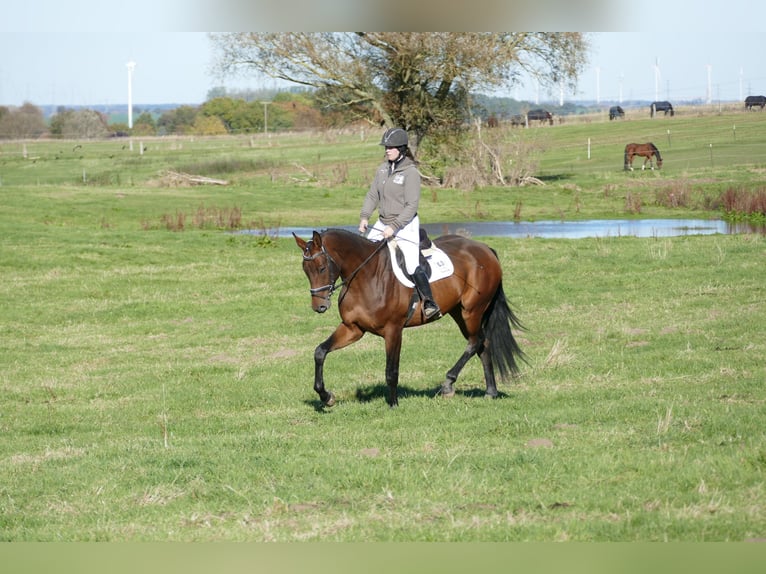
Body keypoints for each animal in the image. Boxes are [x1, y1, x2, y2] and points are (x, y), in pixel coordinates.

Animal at [293, 228, 526, 408]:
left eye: (322, 268)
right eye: (305, 270)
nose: (319, 306)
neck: (366, 277)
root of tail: (485, 249)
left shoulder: (393, 330)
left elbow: (391, 370)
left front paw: (393, 404)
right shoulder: (353, 328)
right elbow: (320, 352)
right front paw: (326, 396)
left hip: (472, 311)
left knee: (475, 342)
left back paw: (448, 384)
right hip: (458, 312)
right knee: (482, 344)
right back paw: (490, 392)